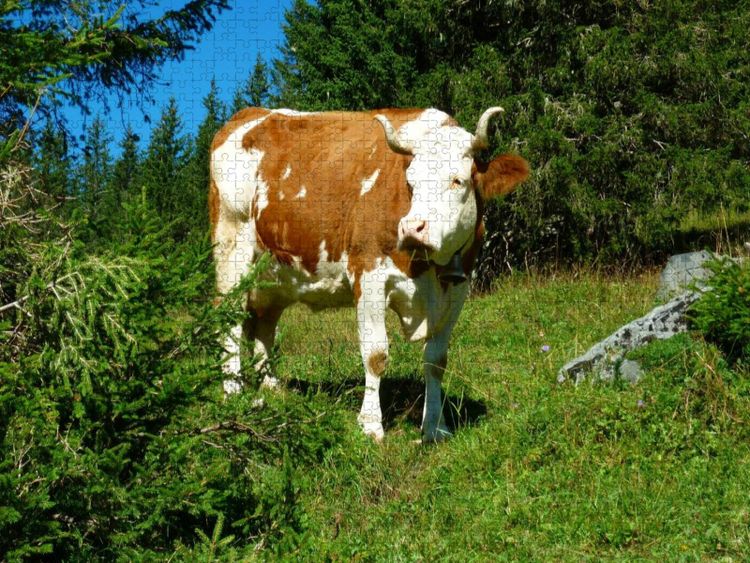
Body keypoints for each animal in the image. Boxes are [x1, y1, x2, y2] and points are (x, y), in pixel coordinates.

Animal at [209, 107, 529, 443]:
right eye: (411, 183)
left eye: (458, 180)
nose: (412, 228)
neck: (428, 269)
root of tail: (250, 113)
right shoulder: (369, 275)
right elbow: (376, 355)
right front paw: (371, 425)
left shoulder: (457, 289)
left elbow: (436, 360)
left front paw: (435, 427)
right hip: (232, 250)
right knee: (229, 319)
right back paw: (233, 392)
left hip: (275, 277)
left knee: (265, 325)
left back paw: (272, 388)